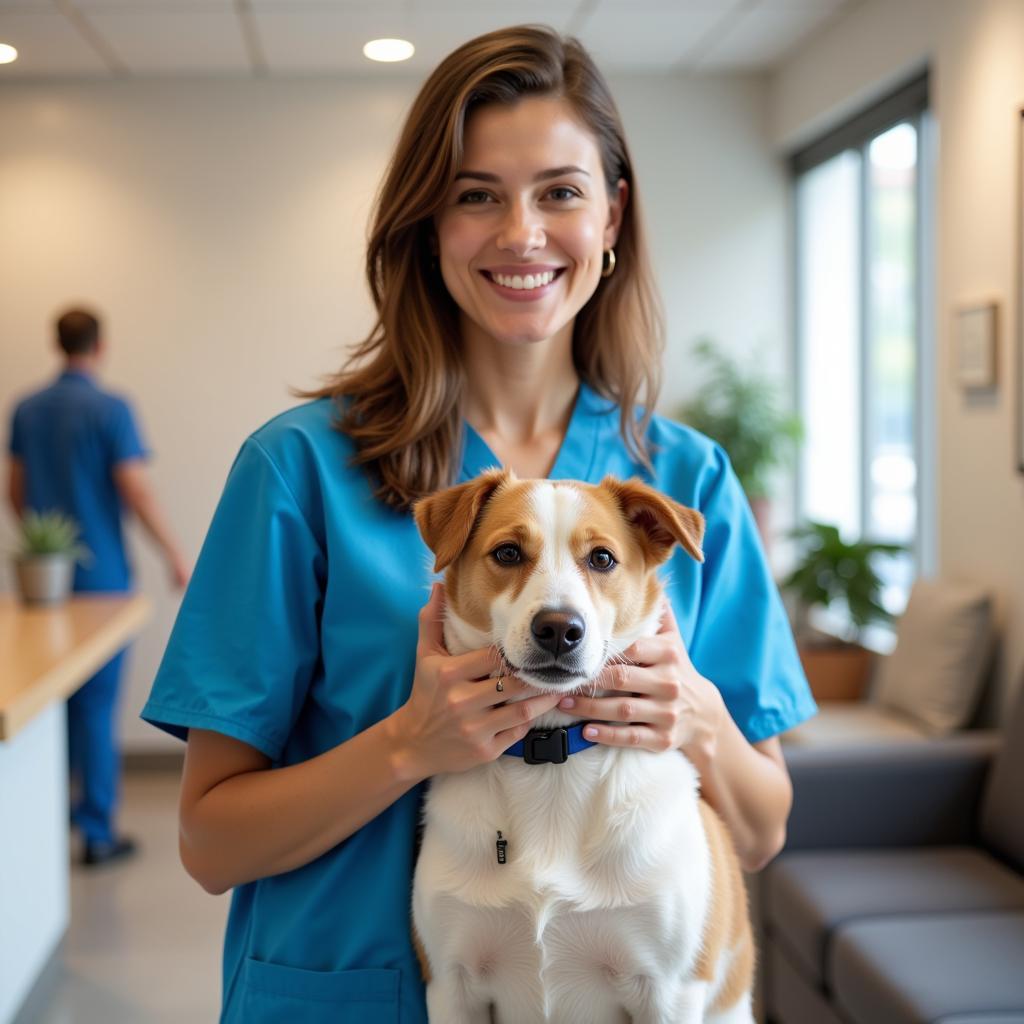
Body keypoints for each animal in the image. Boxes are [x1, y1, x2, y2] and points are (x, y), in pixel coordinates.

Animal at [411, 471, 757, 1024]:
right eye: (508, 552)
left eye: (602, 559)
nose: (559, 629)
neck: (551, 762)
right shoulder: (451, 984)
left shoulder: (669, 991)